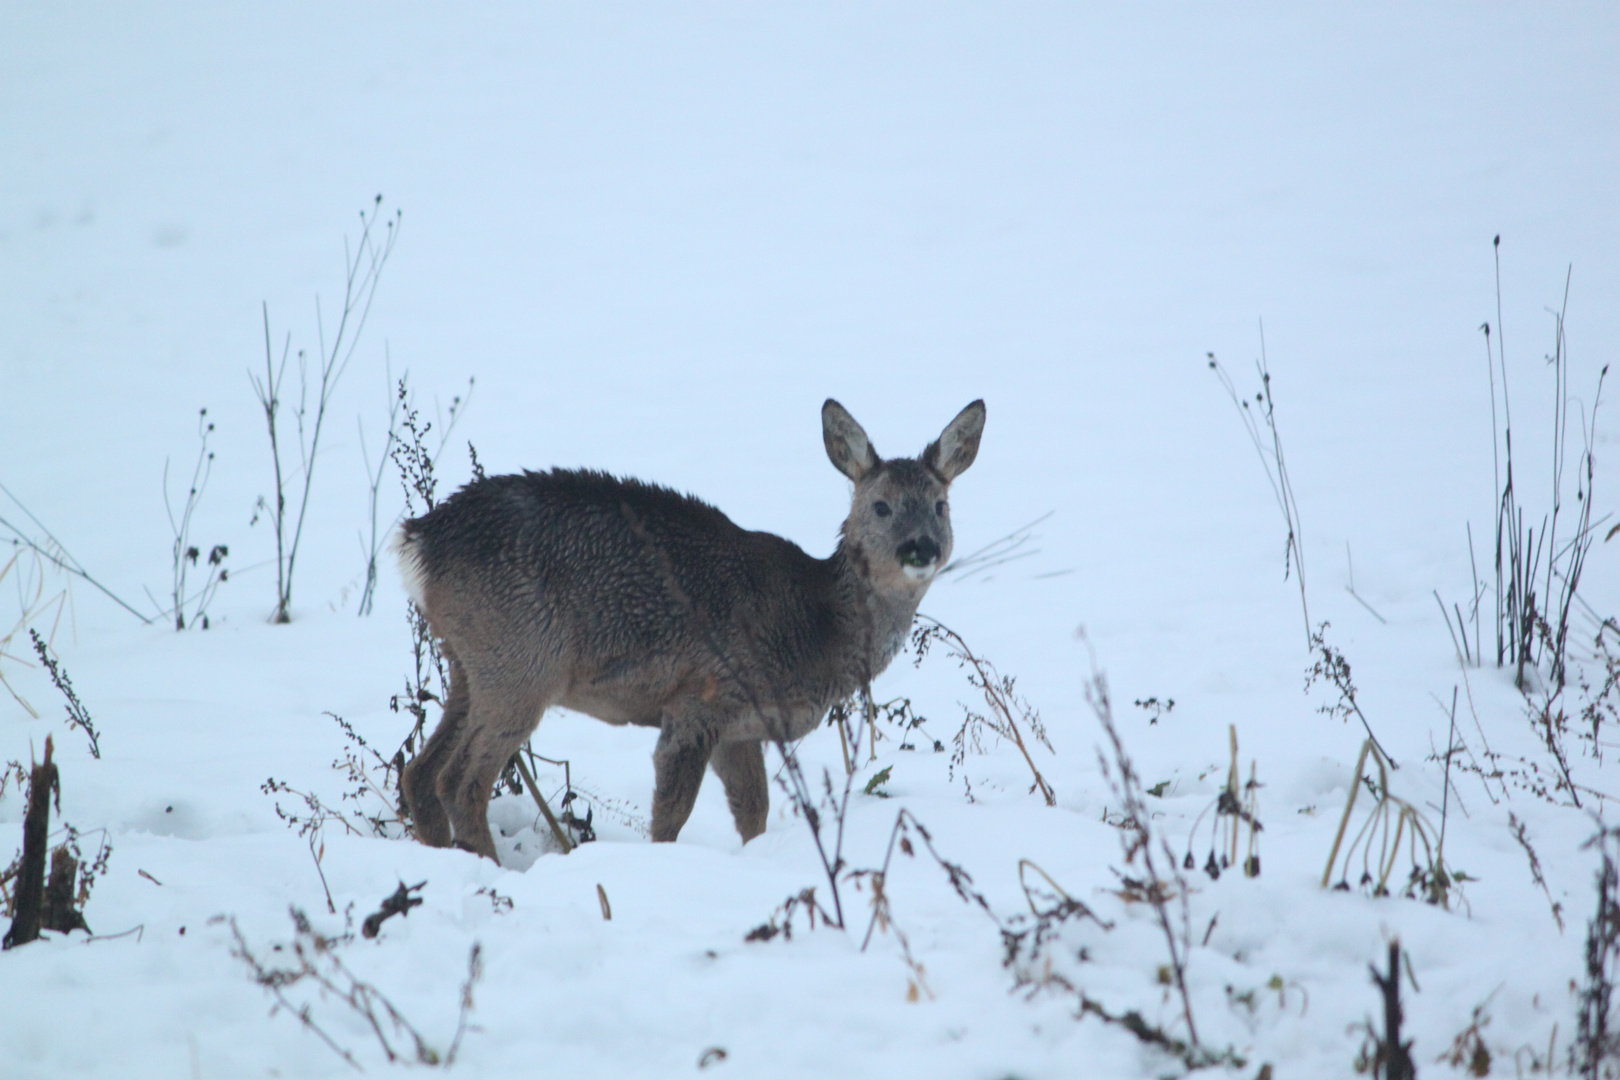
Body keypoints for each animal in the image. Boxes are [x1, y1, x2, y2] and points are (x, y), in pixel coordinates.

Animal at [393, 399, 978, 861]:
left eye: (940, 505)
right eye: (880, 506)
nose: (920, 548)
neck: (812, 623)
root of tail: (419, 538)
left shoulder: (742, 728)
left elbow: (754, 813)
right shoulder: (700, 700)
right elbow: (671, 816)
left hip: (468, 661)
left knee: (418, 772)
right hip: (521, 660)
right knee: (459, 781)